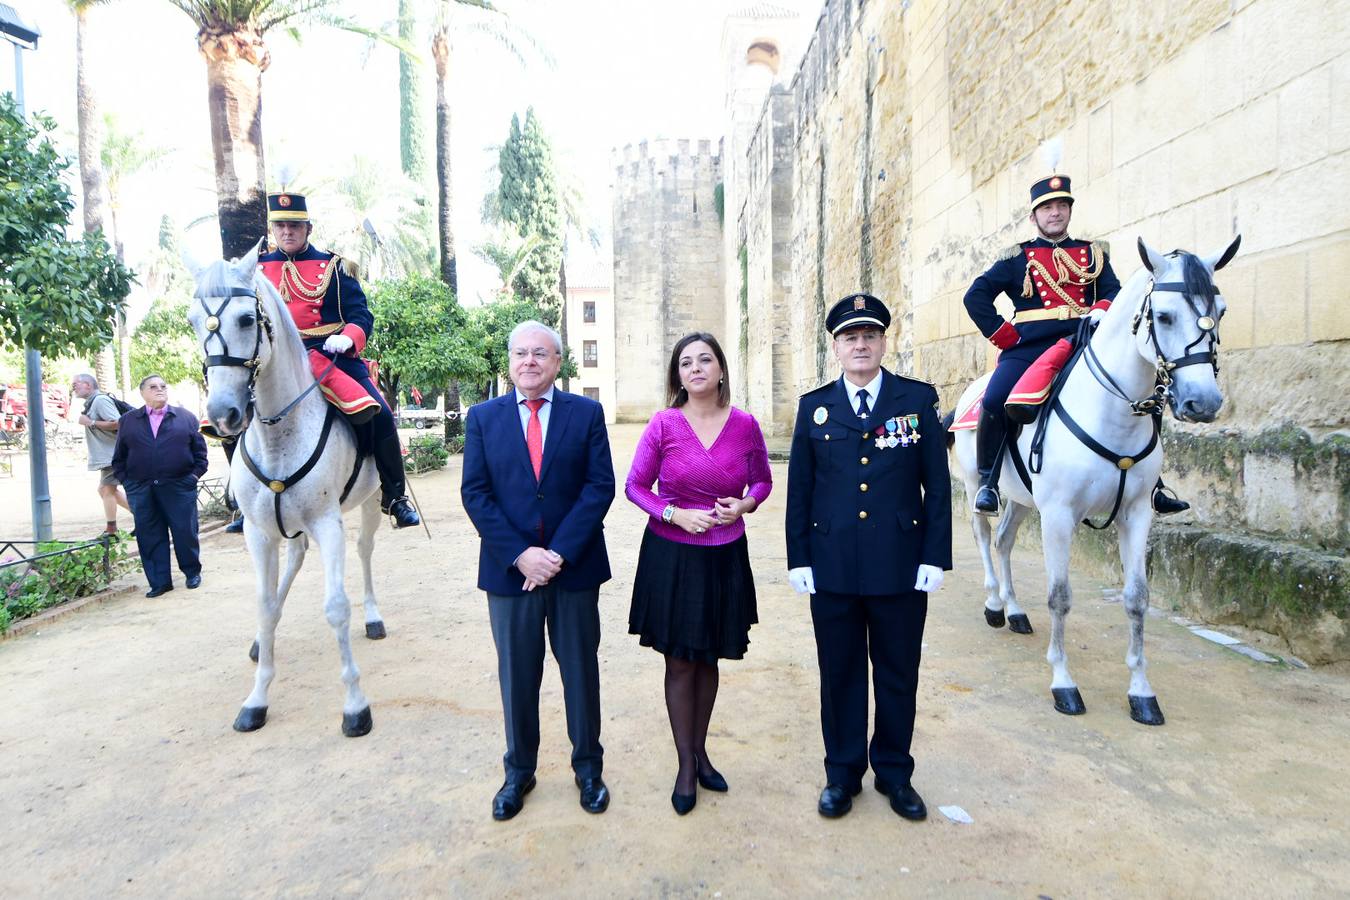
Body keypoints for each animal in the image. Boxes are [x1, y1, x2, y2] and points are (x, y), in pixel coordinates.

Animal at [184, 246, 386, 739]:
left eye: (245, 319)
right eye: (193, 321)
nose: (224, 413)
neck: (279, 433)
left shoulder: (327, 524)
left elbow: (337, 607)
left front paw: (355, 706)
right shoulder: (259, 532)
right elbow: (262, 605)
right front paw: (256, 698)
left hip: (372, 502)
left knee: (365, 550)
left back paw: (373, 615)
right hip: (284, 525)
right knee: (293, 560)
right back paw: (264, 639)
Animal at [945, 237, 1236, 723]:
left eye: (1222, 309)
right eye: (1163, 316)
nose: (1203, 402)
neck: (1113, 411)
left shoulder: (1136, 515)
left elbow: (1137, 598)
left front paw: (1141, 691)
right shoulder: (1059, 515)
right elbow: (1060, 596)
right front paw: (1063, 683)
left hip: (1021, 499)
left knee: (1004, 542)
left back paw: (1014, 609)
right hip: (975, 486)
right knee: (984, 535)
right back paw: (994, 602)